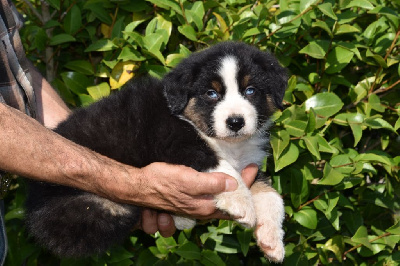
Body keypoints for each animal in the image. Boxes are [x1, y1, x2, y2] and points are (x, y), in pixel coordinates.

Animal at [25, 41, 288, 262]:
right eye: (211, 93)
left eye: (251, 90)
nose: (235, 122)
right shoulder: (173, 142)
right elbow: (222, 169)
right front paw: (242, 203)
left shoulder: (248, 164)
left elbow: (271, 194)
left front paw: (272, 240)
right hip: (107, 209)